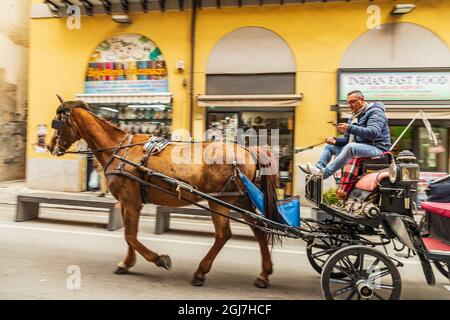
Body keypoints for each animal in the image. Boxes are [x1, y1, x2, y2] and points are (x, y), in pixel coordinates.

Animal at [48, 99, 282, 288]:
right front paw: (127, 263)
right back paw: (264, 273)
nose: (49, 145)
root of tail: (246, 150)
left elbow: (130, 235)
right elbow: (128, 236)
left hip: (220, 201)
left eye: (57, 122)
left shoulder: (131, 202)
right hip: (242, 200)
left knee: (223, 234)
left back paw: (200, 272)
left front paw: (159, 259)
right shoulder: (125, 203)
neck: (119, 149)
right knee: (259, 230)